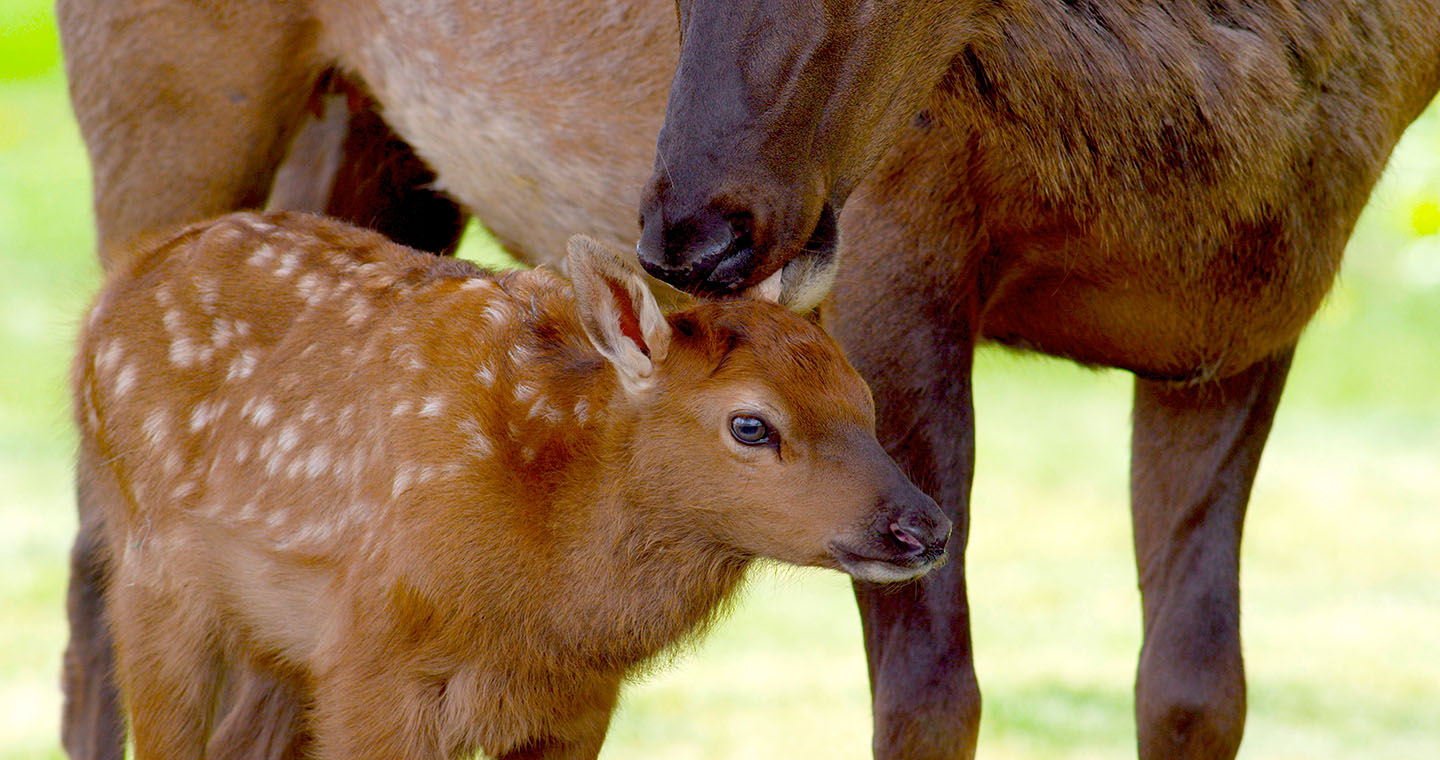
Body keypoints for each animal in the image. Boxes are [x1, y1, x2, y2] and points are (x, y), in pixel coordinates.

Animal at [75, 211, 956, 760]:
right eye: (751, 424)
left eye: (864, 397)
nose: (924, 526)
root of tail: (113, 289)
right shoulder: (371, 662)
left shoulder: (579, 703)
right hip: (154, 572)